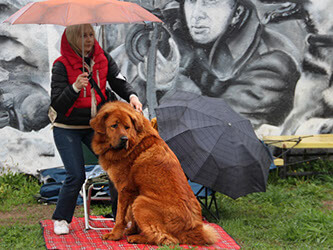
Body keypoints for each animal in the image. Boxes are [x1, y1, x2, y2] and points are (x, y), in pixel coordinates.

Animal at [89, 100, 217, 245]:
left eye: (127, 127)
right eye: (114, 126)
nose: (124, 139)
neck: (134, 139)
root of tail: (195, 230)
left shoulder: (125, 190)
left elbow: (120, 216)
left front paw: (115, 235)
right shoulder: (134, 191)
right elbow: (131, 217)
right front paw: (132, 230)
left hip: (141, 202)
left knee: (167, 239)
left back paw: (138, 238)